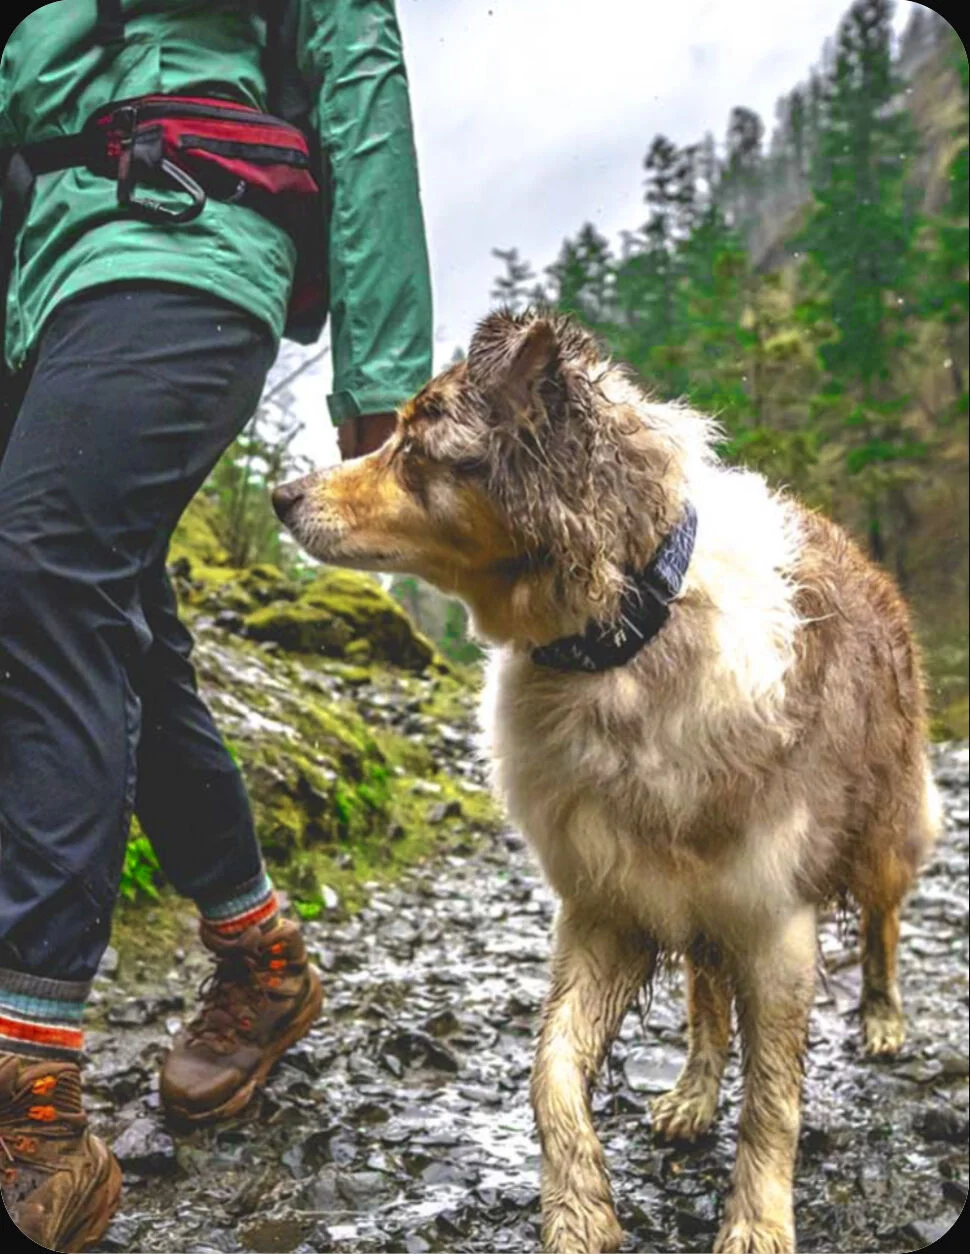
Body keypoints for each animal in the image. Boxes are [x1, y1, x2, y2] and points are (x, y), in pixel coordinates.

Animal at [273, 310, 942, 1254]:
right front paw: (579, 1208)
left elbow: (773, 1099)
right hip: (689, 885)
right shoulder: (607, 898)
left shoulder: (773, 919)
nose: (280, 496)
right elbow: (550, 1065)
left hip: (876, 824)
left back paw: (882, 1017)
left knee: (881, 921)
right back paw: (694, 1089)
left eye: (414, 448)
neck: (624, 636)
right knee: (704, 990)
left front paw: (757, 1223)